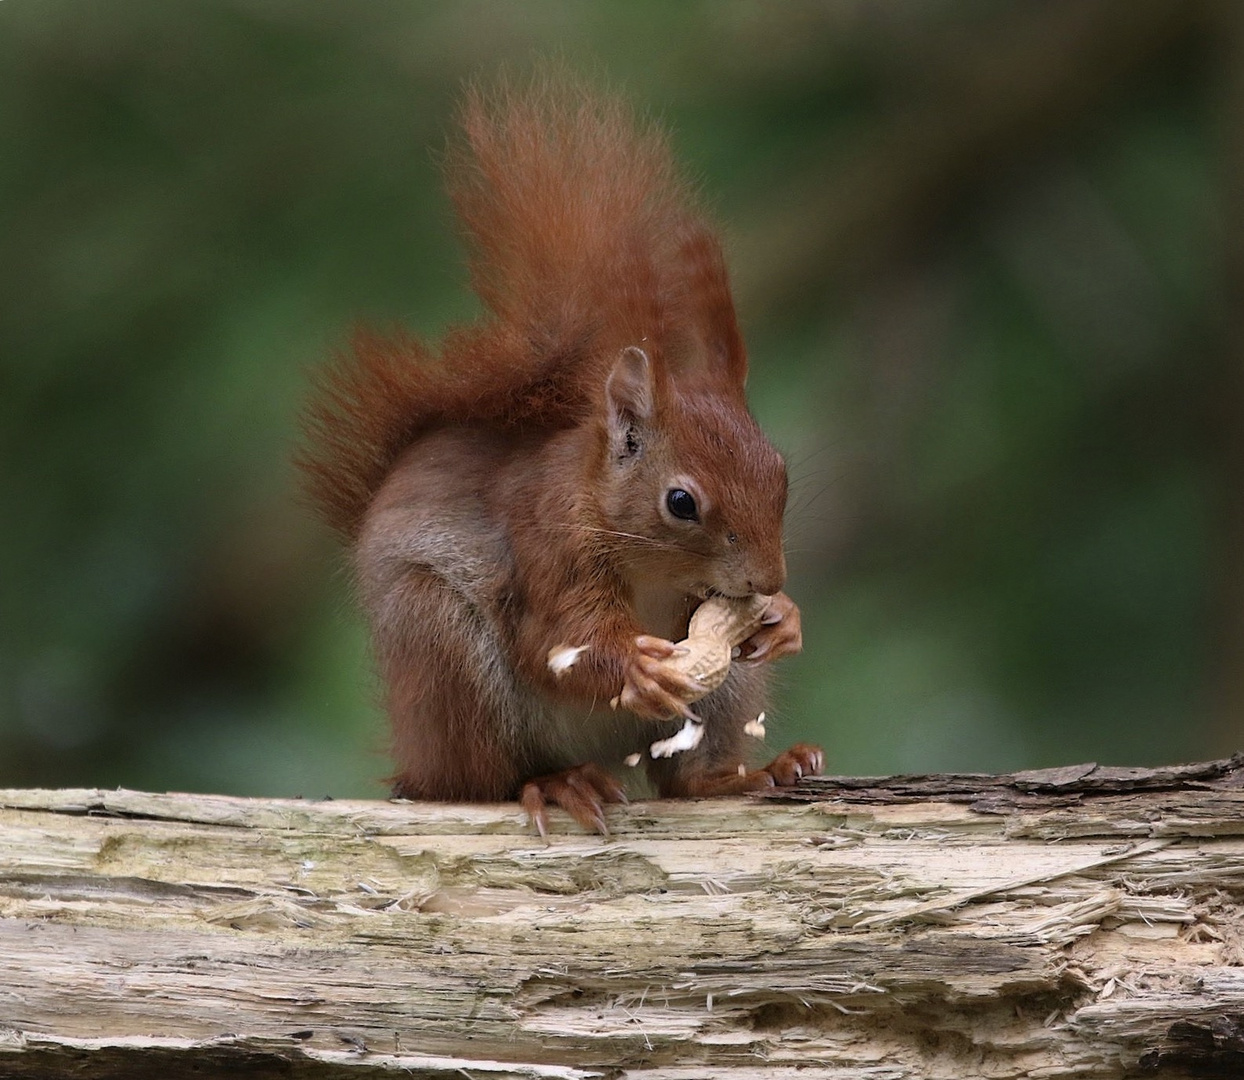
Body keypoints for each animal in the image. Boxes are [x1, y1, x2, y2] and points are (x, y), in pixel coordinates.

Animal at [296, 73, 821, 836]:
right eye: (681, 502)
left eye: (781, 476)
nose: (766, 578)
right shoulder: (548, 549)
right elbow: (553, 642)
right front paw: (638, 670)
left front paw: (784, 619)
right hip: (441, 651)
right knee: (477, 783)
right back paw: (554, 782)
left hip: (726, 694)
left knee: (686, 780)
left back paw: (755, 773)